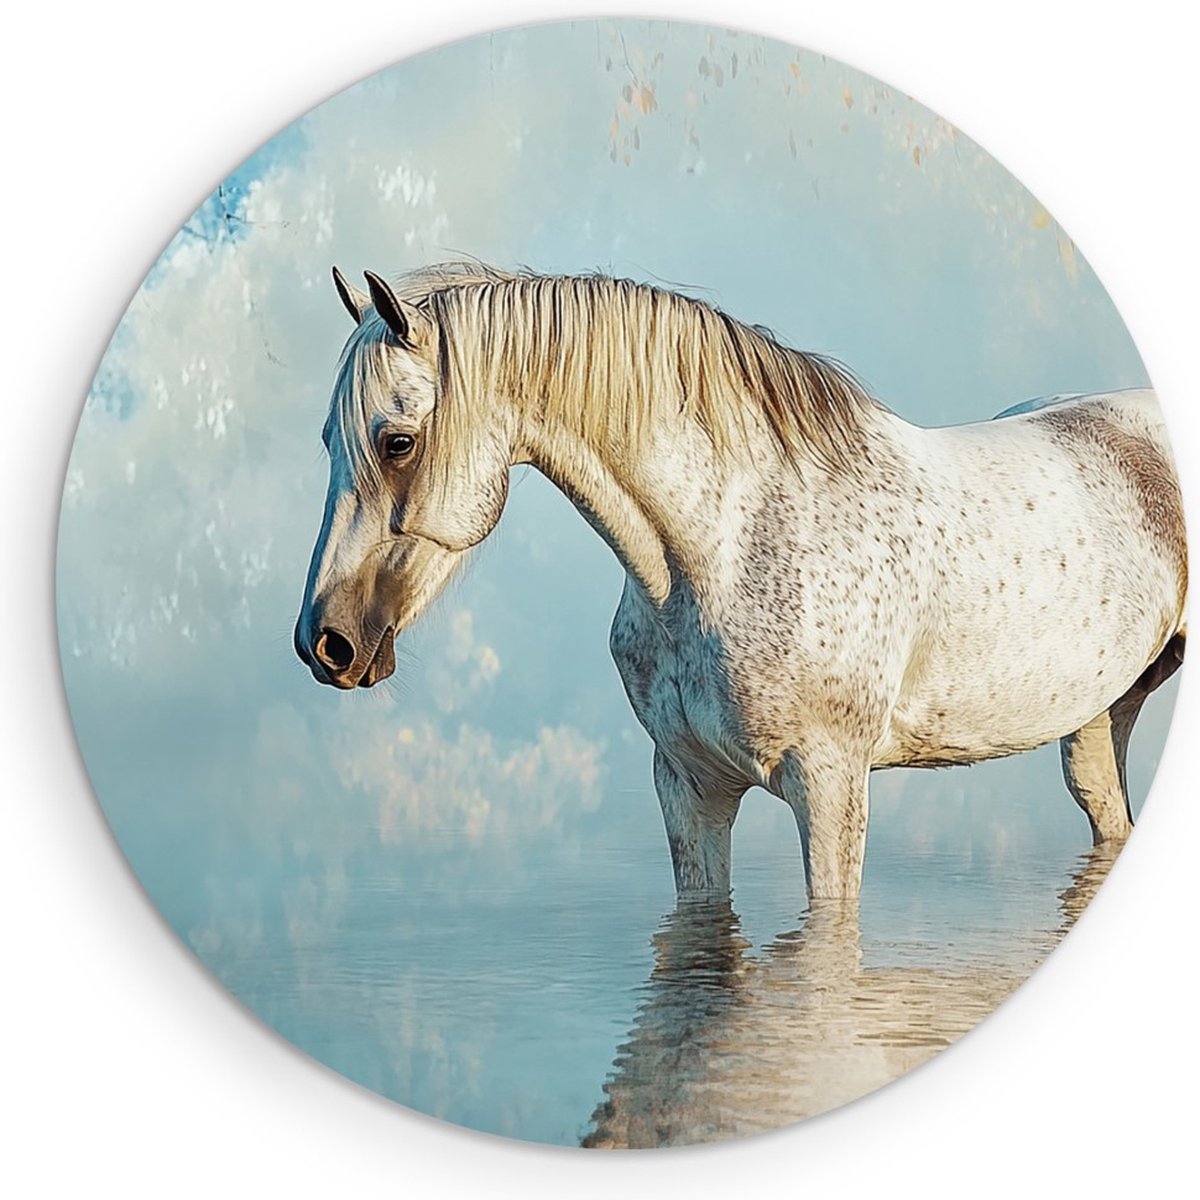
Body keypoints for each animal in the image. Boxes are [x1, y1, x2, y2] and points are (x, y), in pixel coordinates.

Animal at [293, 262, 1187, 902]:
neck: (727, 546)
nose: (324, 643)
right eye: (328, 440)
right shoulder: (689, 788)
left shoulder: (829, 789)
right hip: (1097, 719)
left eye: (397, 441)